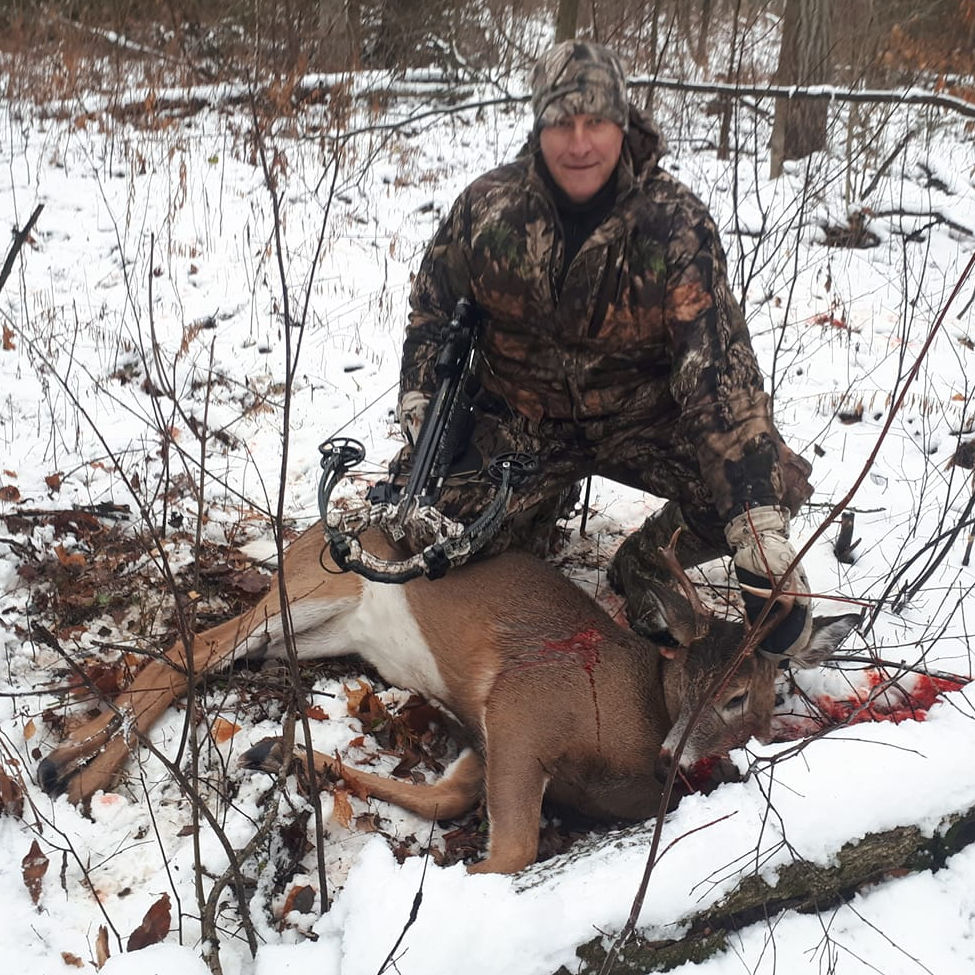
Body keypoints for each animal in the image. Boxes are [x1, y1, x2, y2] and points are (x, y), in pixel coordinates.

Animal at [38, 528, 856, 876]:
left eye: (744, 695)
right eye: (690, 671)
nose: (673, 751)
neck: (633, 714)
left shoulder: (489, 736)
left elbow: (450, 798)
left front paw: (296, 759)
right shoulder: (521, 707)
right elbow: (512, 848)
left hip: (315, 632)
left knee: (198, 657)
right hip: (312, 588)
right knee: (189, 649)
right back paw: (69, 772)